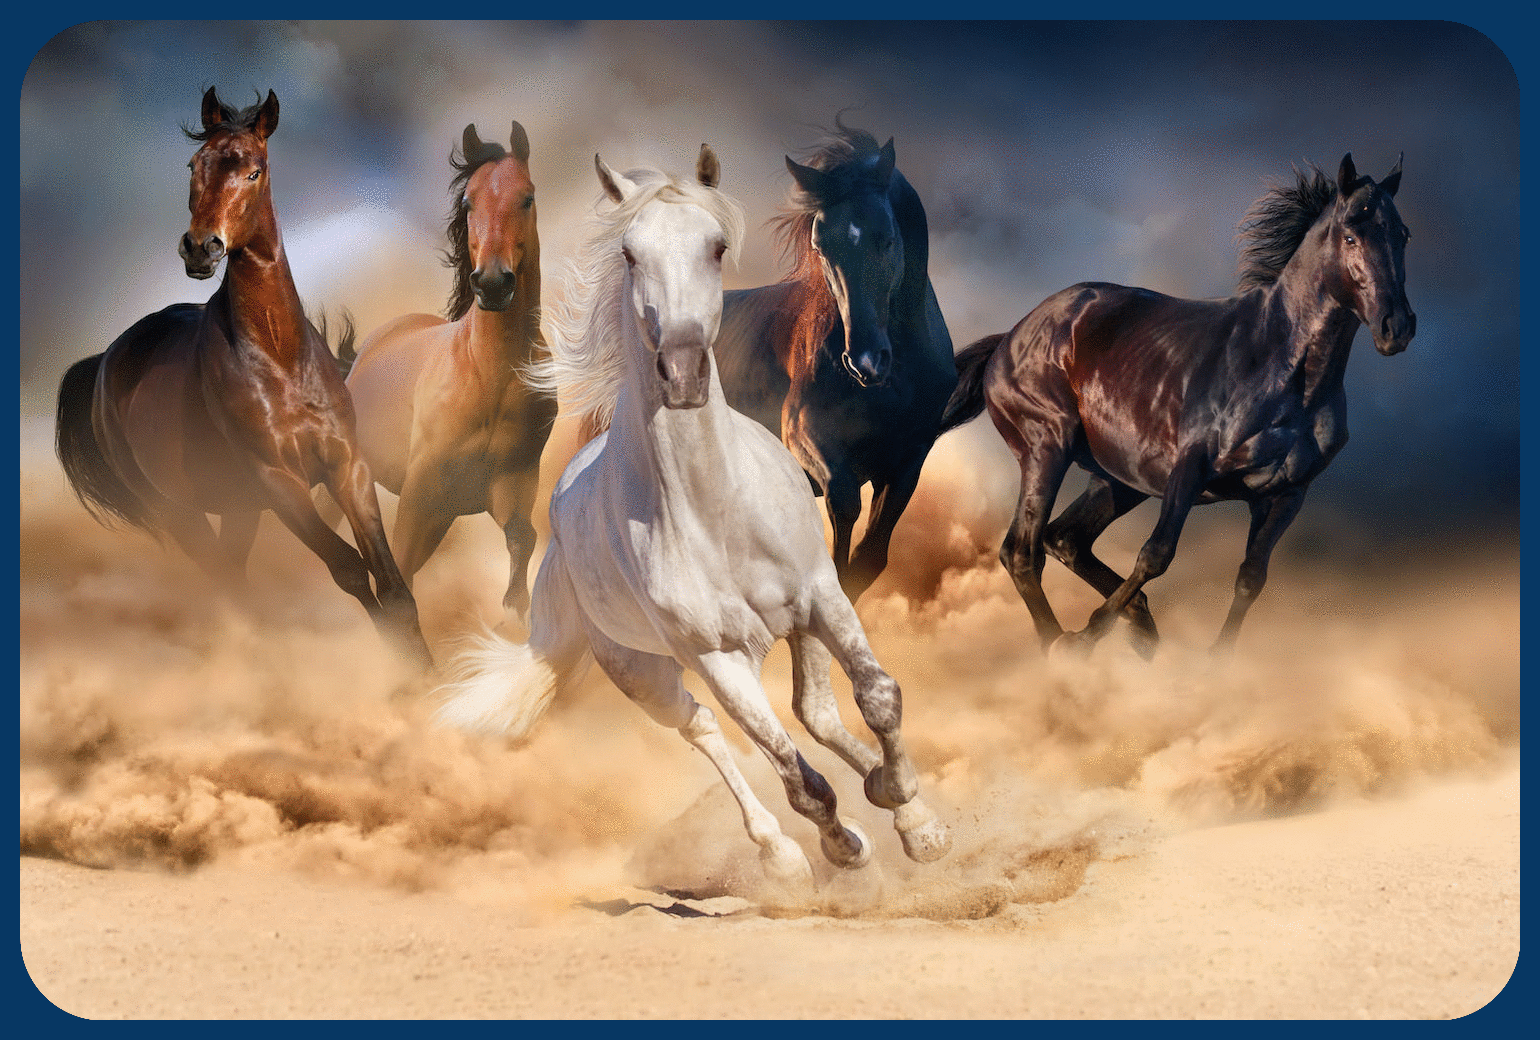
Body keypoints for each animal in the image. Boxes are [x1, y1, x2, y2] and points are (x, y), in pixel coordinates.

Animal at [54, 87, 428, 664]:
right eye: (194, 165)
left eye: (254, 171)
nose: (200, 247)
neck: (280, 359)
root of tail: (104, 364)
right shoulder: (278, 481)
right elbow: (349, 570)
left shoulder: (347, 467)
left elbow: (391, 584)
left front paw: (430, 674)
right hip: (179, 512)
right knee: (228, 586)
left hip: (237, 509)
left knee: (234, 577)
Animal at [337, 121, 554, 622]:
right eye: (469, 202)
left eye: (527, 197)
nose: (492, 282)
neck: (489, 375)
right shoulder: (422, 493)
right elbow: (398, 574)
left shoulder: (510, 486)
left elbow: (523, 542)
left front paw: (514, 616)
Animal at [713, 122, 957, 602]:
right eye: (821, 247)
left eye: (887, 238)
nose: (865, 361)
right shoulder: (805, 435)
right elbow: (843, 509)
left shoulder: (907, 462)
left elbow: (869, 559)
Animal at [937, 153, 1415, 656]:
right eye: (1350, 235)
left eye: (1402, 234)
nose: (1397, 326)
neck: (1283, 370)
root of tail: (1010, 337)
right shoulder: (1190, 468)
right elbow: (1155, 555)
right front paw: (1087, 637)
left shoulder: (1286, 494)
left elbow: (1251, 578)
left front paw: (1212, 662)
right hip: (1046, 448)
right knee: (1022, 552)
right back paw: (1062, 646)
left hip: (1117, 479)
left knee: (1064, 539)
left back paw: (1140, 628)